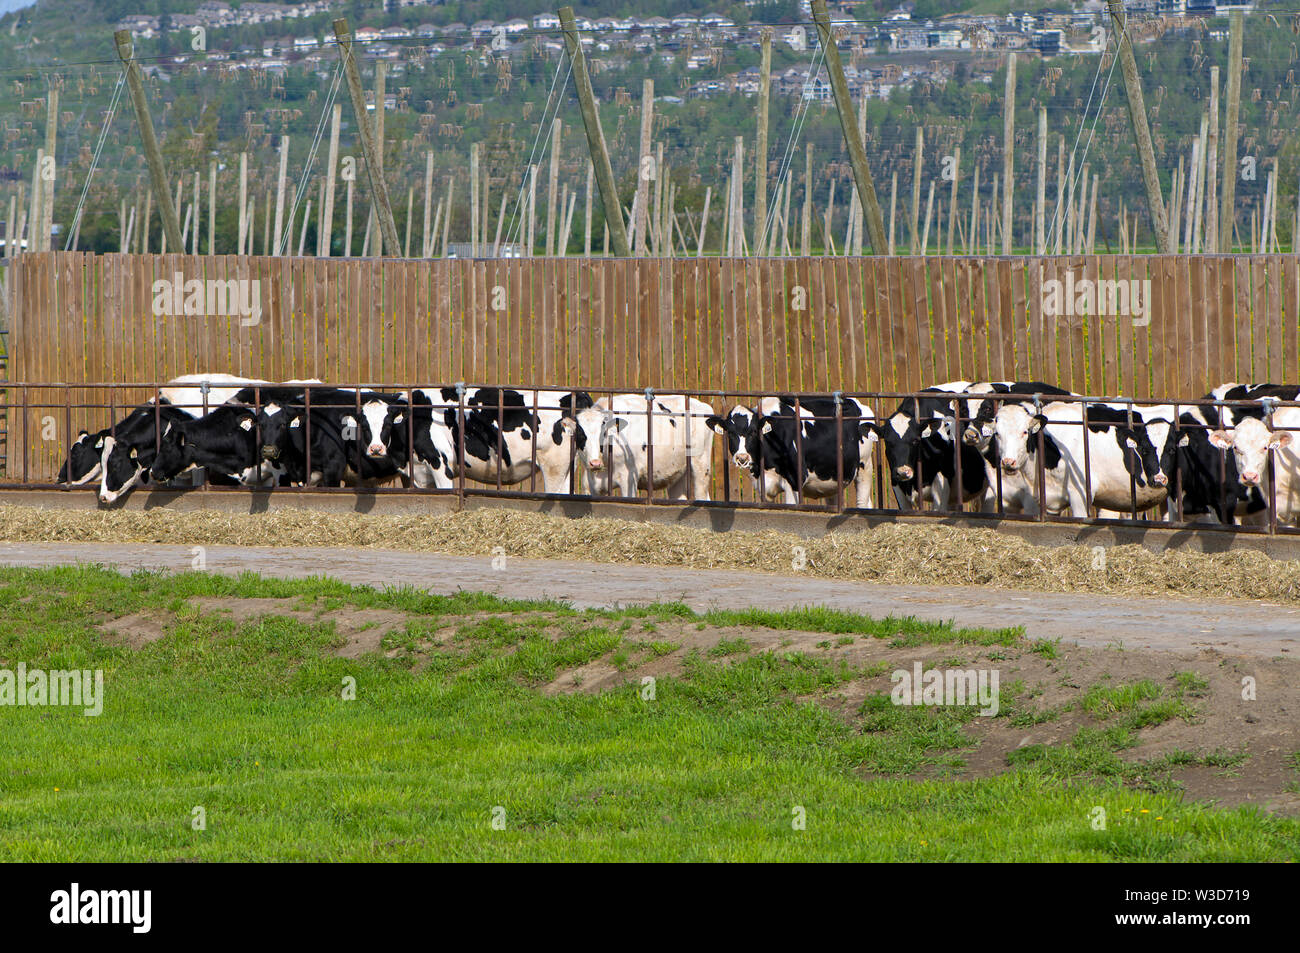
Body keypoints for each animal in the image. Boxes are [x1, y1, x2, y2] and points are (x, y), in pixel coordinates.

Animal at [564, 392, 717, 499]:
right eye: (580, 435)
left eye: (604, 433)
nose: (595, 463)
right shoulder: (593, 484)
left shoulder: (629, 478)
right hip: (677, 474)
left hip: (701, 465)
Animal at [707, 395, 878, 504]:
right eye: (730, 432)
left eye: (754, 431)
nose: (742, 458)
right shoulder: (762, 485)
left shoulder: (795, 480)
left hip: (865, 466)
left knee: (863, 502)